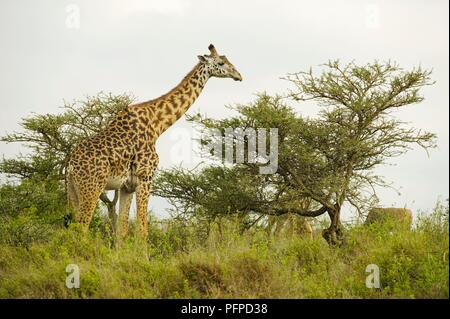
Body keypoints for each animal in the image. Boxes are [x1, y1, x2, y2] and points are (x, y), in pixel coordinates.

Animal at [65, 45, 241, 240]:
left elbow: (122, 231)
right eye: (221, 63)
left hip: (73, 190)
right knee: (82, 228)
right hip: (92, 187)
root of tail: (70, 165)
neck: (157, 125)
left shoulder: (127, 186)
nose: (239, 75)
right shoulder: (146, 176)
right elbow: (142, 230)